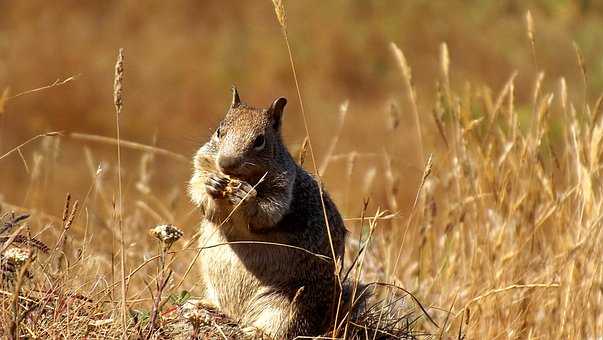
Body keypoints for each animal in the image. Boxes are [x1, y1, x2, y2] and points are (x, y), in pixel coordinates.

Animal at [189, 87, 350, 338]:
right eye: (219, 131)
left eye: (259, 140)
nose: (226, 163)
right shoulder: (202, 163)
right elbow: (199, 191)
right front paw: (212, 184)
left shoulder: (283, 190)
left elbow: (266, 213)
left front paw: (246, 197)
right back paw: (203, 305)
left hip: (288, 305)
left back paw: (253, 330)